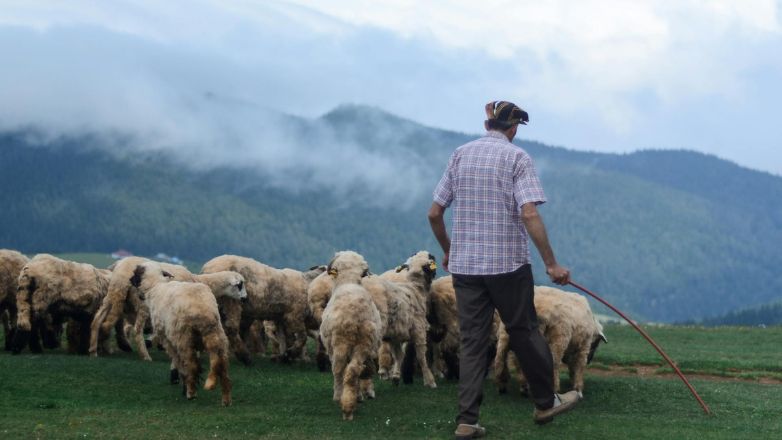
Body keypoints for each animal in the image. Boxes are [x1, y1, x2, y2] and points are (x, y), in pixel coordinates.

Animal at [129, 262, 245, 406]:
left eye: (135, 273)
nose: (130, 280)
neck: (156, 286)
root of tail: (202, 310)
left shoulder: (167, 338)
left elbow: (179, 362)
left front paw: (180, 381)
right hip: (217, 336)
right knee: (222, 368)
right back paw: (226, 399)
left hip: (183, 337)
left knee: (192, 365)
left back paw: (190, 392)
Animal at [320, 251, 384, 420]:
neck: (349, 282)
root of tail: (353, 313)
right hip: (364, 342)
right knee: (353, 370)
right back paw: (349, 404)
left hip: (339, 343)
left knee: (339, 369)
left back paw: (340, 397)